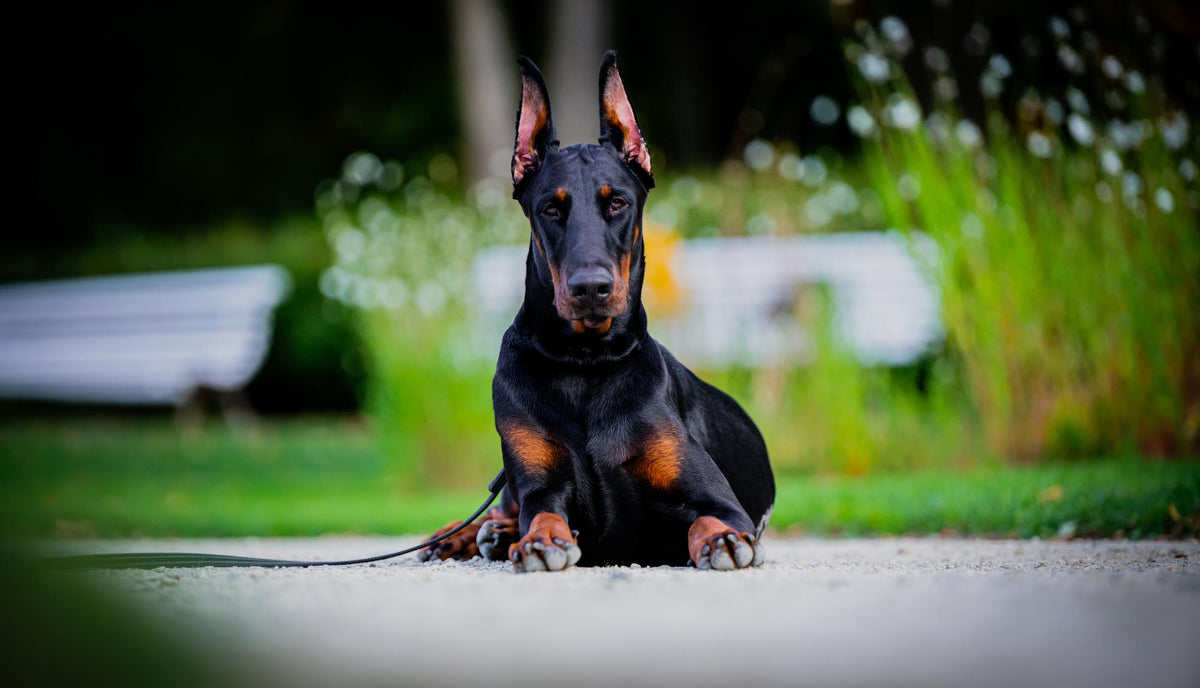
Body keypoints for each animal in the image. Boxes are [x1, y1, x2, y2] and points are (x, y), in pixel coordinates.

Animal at [422, 51, 772, 571]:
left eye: (618, 203)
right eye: (550, 208)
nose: (591, 288)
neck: (584, 365)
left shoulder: (717, 499)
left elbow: (709, 520)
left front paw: (722, 539)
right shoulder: (540, 485)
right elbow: (541, 514)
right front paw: (539, 541)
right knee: (500, 510)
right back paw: (470, 535)